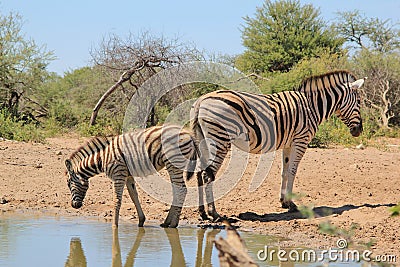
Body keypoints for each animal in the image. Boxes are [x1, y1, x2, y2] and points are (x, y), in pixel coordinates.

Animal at [65, 125, 198, 228]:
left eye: (68, 183)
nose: (74, 205)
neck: (102, 158)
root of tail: (188, 134)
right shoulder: (128, 177)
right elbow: (134, 196)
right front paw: (141, 220)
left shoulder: (118, 174)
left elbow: (117, 200)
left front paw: (114, 226)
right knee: (177, 191)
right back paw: (166, 223)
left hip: (173, 163)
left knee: (181, 190)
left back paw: (174, 224)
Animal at [191, 70, 366, 221]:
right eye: (358, 102)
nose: (359, 130)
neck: (312, 106)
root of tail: (201, 100)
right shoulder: (301, 140)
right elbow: (293, 171)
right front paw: (291, 204)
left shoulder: (288, 144)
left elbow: (285, 172)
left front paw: (283, 201)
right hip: (220, 140)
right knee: (208, 175)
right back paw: (214, 213)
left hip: (203, 140)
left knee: (199, 172)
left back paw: (202, 213)